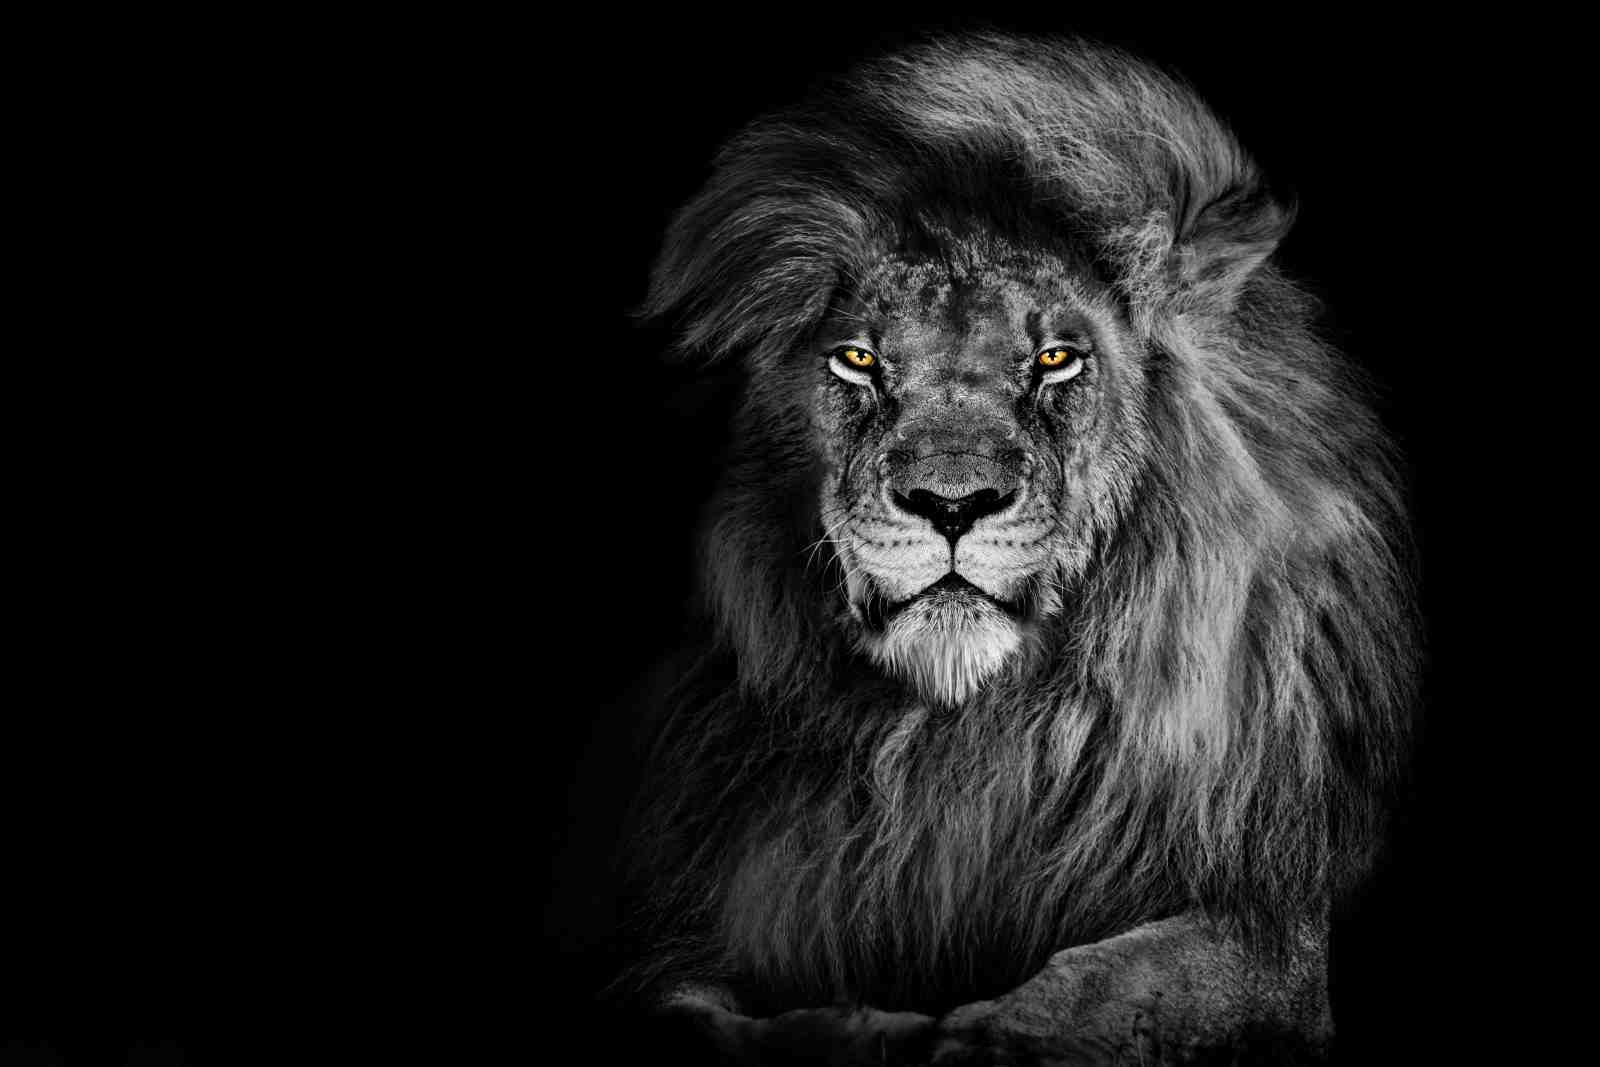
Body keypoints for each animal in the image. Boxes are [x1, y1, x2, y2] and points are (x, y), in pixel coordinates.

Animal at [613, 32, 1419, 1065]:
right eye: (858, 359)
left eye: (1055, 358)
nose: (951, 504)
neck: (963, 736)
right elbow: (687, 1005)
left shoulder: (1272, 925)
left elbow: (1114, 983)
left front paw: (981, 1036)